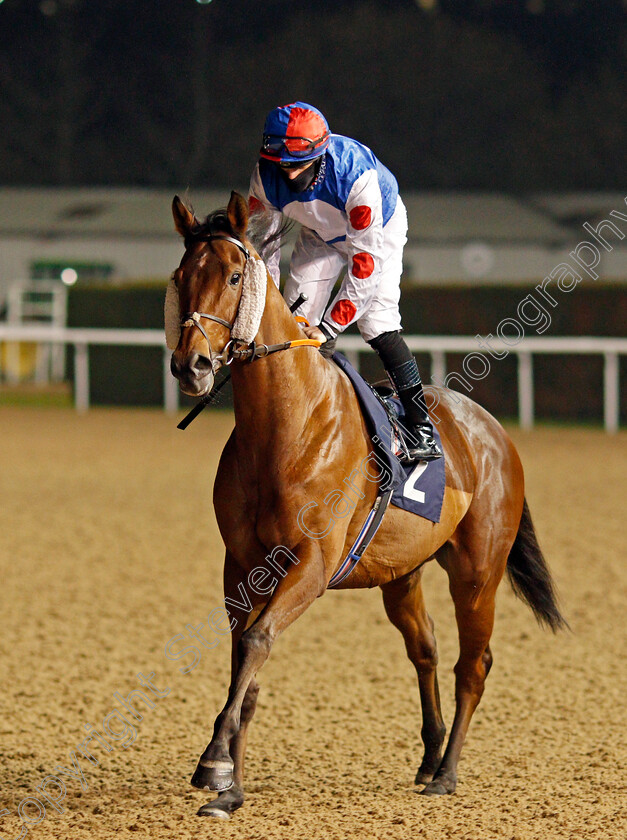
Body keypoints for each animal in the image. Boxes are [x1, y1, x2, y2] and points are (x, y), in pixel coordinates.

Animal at [168, 190, 568, 820]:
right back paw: (429, 757)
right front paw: (230, 782)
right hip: (402, 573)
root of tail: (496, 432)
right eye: (181, 276)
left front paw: (214, 764)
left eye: (234, 275)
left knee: (473, 664)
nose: (193, 365)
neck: (284, 424)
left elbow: (256, 641)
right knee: (426, 650)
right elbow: (243, 660)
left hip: (478, 572)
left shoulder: (311, 563)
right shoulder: (243, 565)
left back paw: (446, 773)